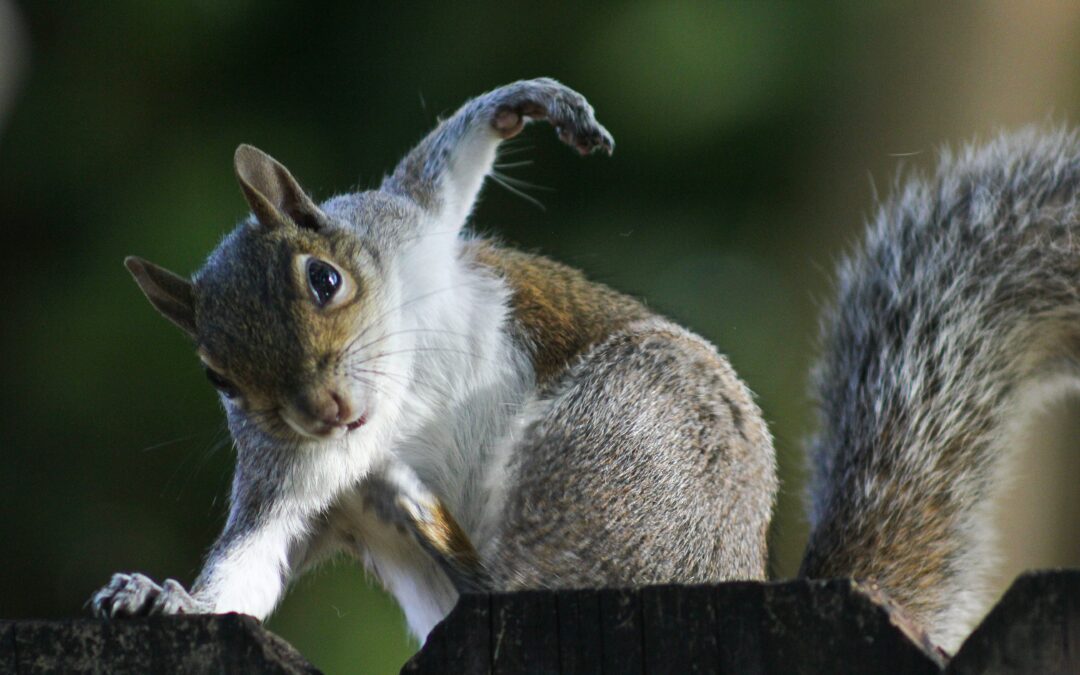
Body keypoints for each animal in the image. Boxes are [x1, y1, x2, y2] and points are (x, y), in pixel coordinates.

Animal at [89, 78, 1068, 655]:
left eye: (324, 278)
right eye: (218, 378)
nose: (324, 409)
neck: (392, 407)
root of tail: (739, 570)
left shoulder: (407, 225)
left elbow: (446, 165)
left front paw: (527, 105)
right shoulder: (300, 477)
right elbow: (249, 566)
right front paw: (164, 596)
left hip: (623, 435)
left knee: (527, 573)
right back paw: (420, 511)